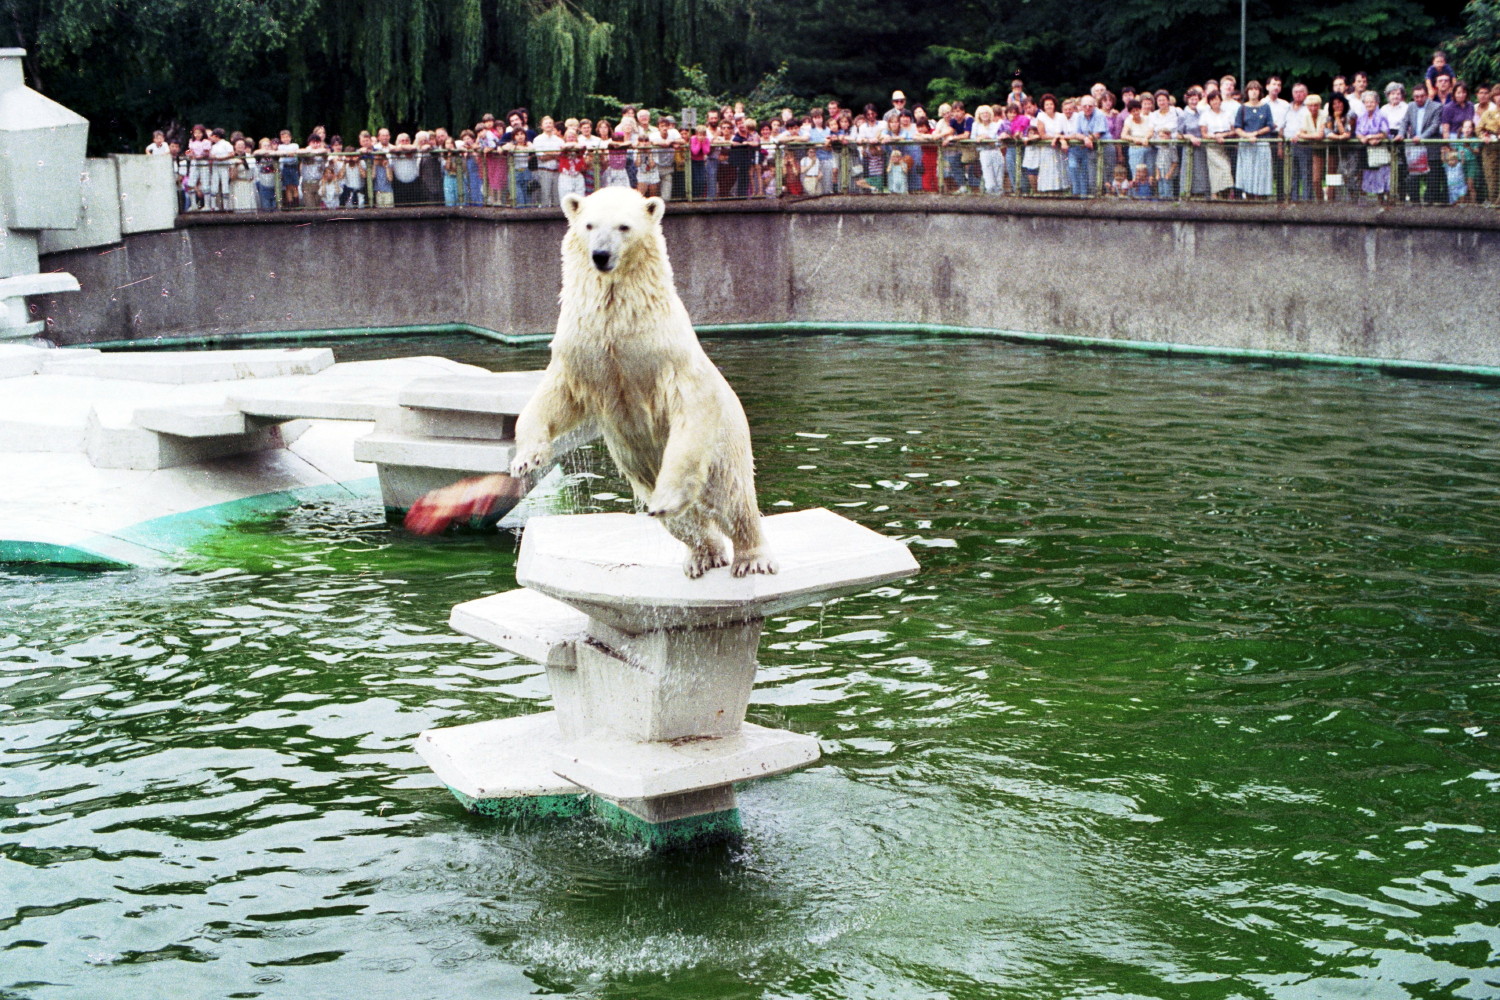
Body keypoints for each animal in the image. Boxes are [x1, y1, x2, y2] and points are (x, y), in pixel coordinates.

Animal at [408, 187, 774, 578]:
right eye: (589, 225)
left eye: (624, 226)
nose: (600, 255)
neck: (620, 314)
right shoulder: (582, 352)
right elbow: (555, 398)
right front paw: (525, 460)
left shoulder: (669, 358)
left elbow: (688, 411)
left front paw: (668, 498)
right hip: (647, 479)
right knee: (686, 522)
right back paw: (703, 556)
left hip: (725, 448)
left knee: (733, 500)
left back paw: (750, 558)